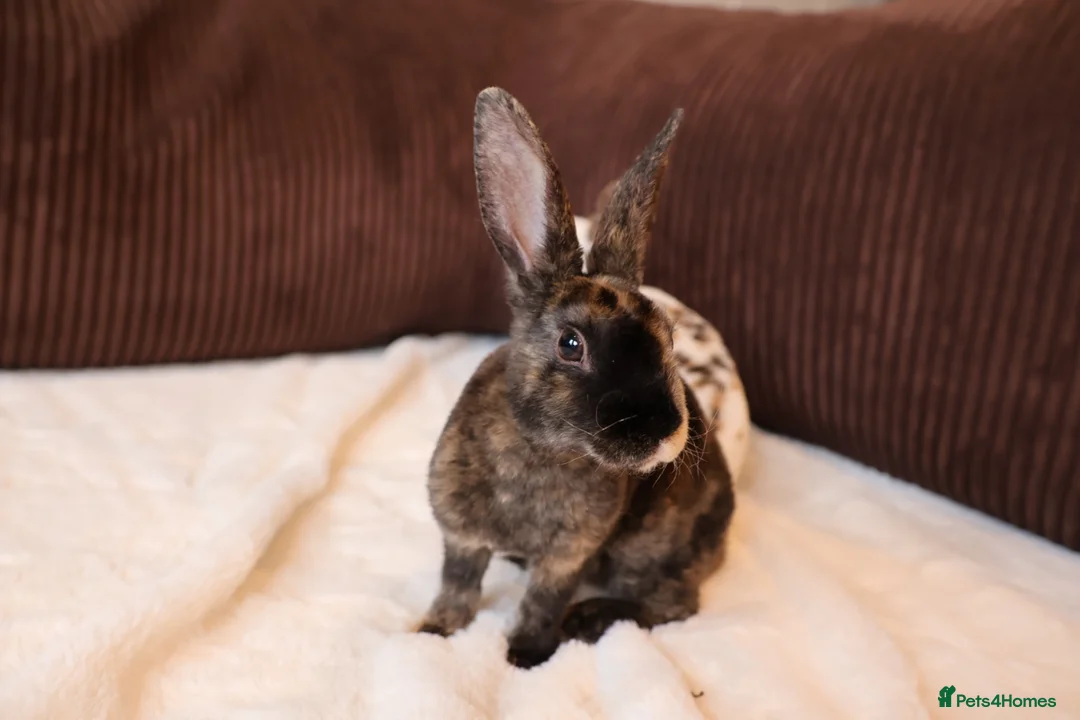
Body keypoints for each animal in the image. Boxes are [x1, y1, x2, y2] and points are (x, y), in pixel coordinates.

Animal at [417, 87, 736, 670]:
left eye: (668, 335)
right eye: (571, 345)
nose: (667, 432)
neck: (544, 449)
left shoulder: (567, 558)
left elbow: (542, 602)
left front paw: (525, 656)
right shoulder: (462, 536)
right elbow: (458, 586)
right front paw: (434, 631)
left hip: (645, 551)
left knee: (674, 605)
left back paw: (589, 620)